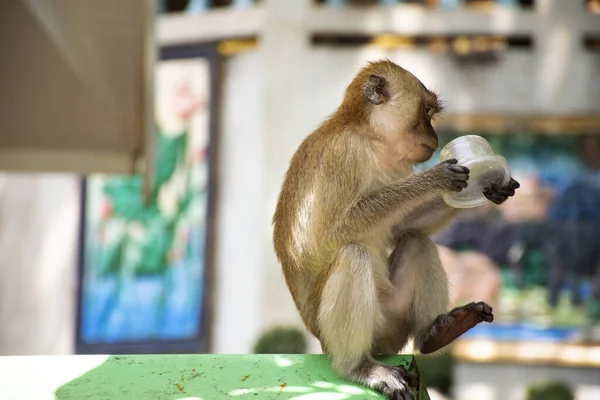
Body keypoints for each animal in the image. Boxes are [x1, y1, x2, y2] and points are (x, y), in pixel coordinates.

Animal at [274, 60, 520, 400]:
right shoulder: (343, 156)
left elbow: (400, 228)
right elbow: (336, 231)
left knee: (417, 241)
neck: (370, 138)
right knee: (353, 253)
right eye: (426, 111)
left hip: (394, 320)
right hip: (364, 331)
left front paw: (493, 187)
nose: (435, 137)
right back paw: (359, 367)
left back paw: (436, 332)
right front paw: (434, 179)